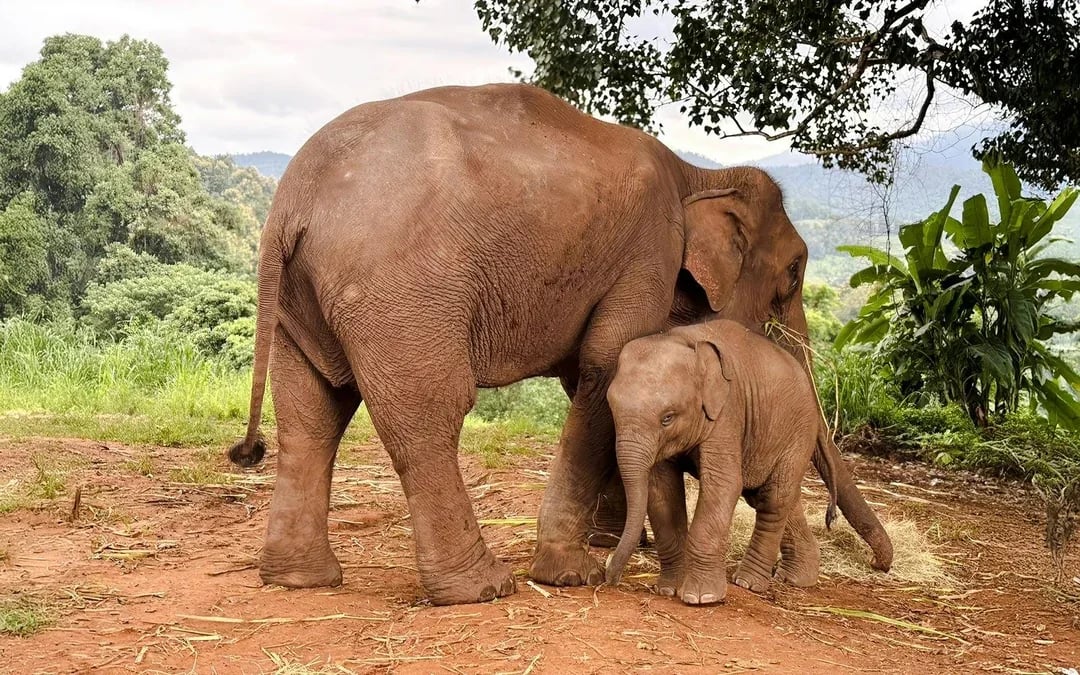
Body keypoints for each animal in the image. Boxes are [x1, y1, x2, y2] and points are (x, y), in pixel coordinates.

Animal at [605, 319, 832, 605]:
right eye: (612, 410)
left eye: (667, 418)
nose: (609, 578)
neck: (682, 340)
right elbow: (661, 490)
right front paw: (669, 589)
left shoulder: (728, 411)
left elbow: (723, 484)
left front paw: (701, 598)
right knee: (775, 497)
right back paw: (797, 577)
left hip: (799, 432)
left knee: (774, 499)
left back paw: (748, 583)